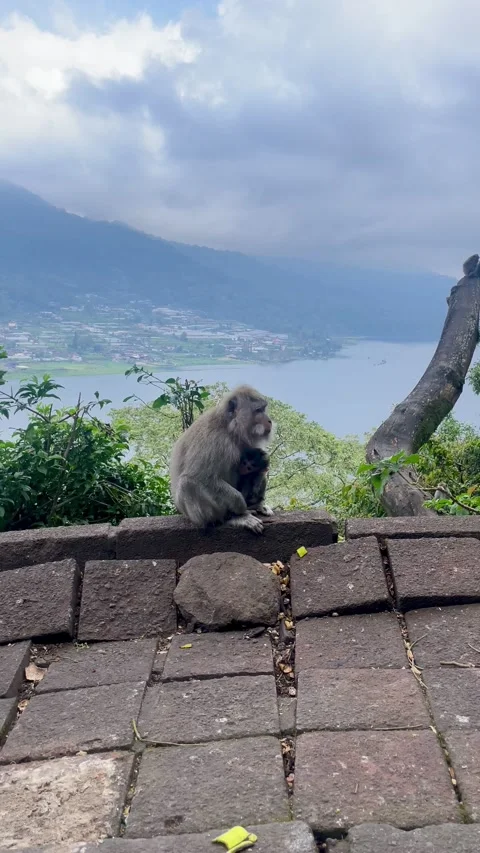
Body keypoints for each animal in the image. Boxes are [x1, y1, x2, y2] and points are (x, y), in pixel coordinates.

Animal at [169, 385, 273, 534]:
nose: (270, 421)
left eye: (264, 409)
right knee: (187, 482)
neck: (228, 427)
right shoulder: (214, 440)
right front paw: (240, 505)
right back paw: (231, 518)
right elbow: (201, 477)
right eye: (259, 410)